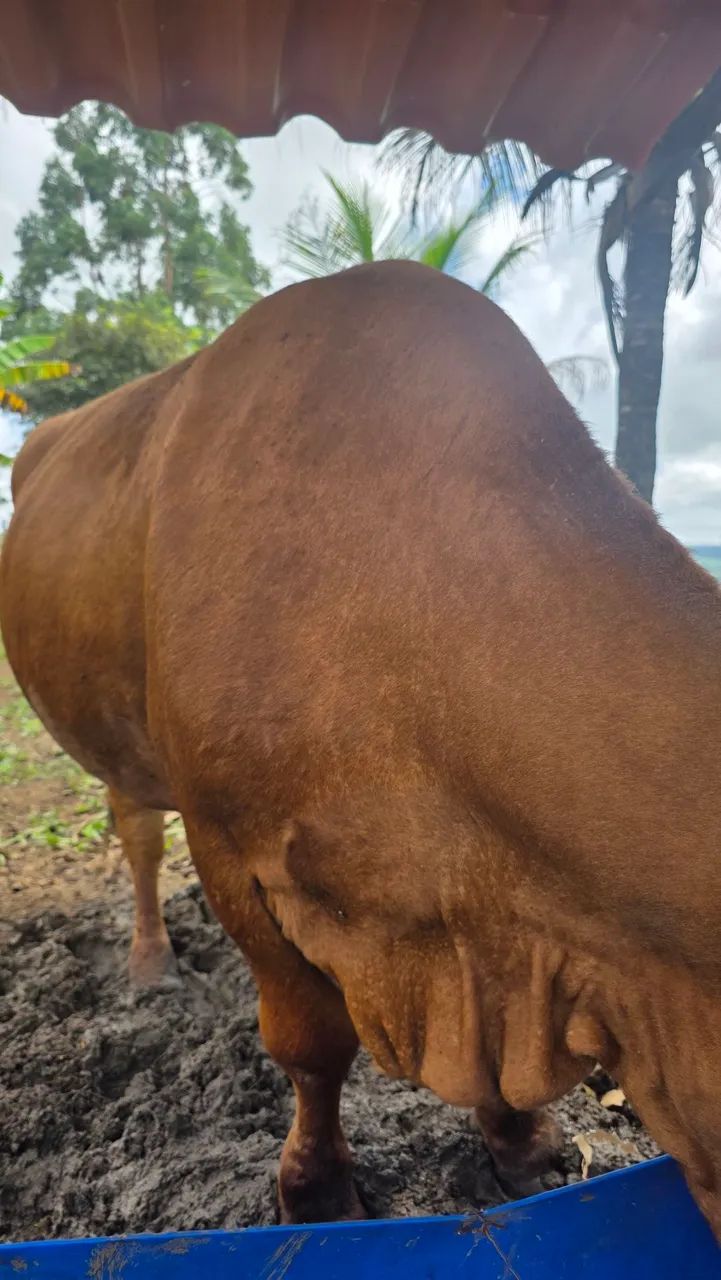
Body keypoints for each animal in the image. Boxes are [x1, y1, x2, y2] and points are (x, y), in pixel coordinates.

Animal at [3, 261, 721, 1234]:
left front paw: (520, 1146)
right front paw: (315, 1190)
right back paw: (151, 966)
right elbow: (312, 1045)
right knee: (137, 830)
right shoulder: (234, 855)